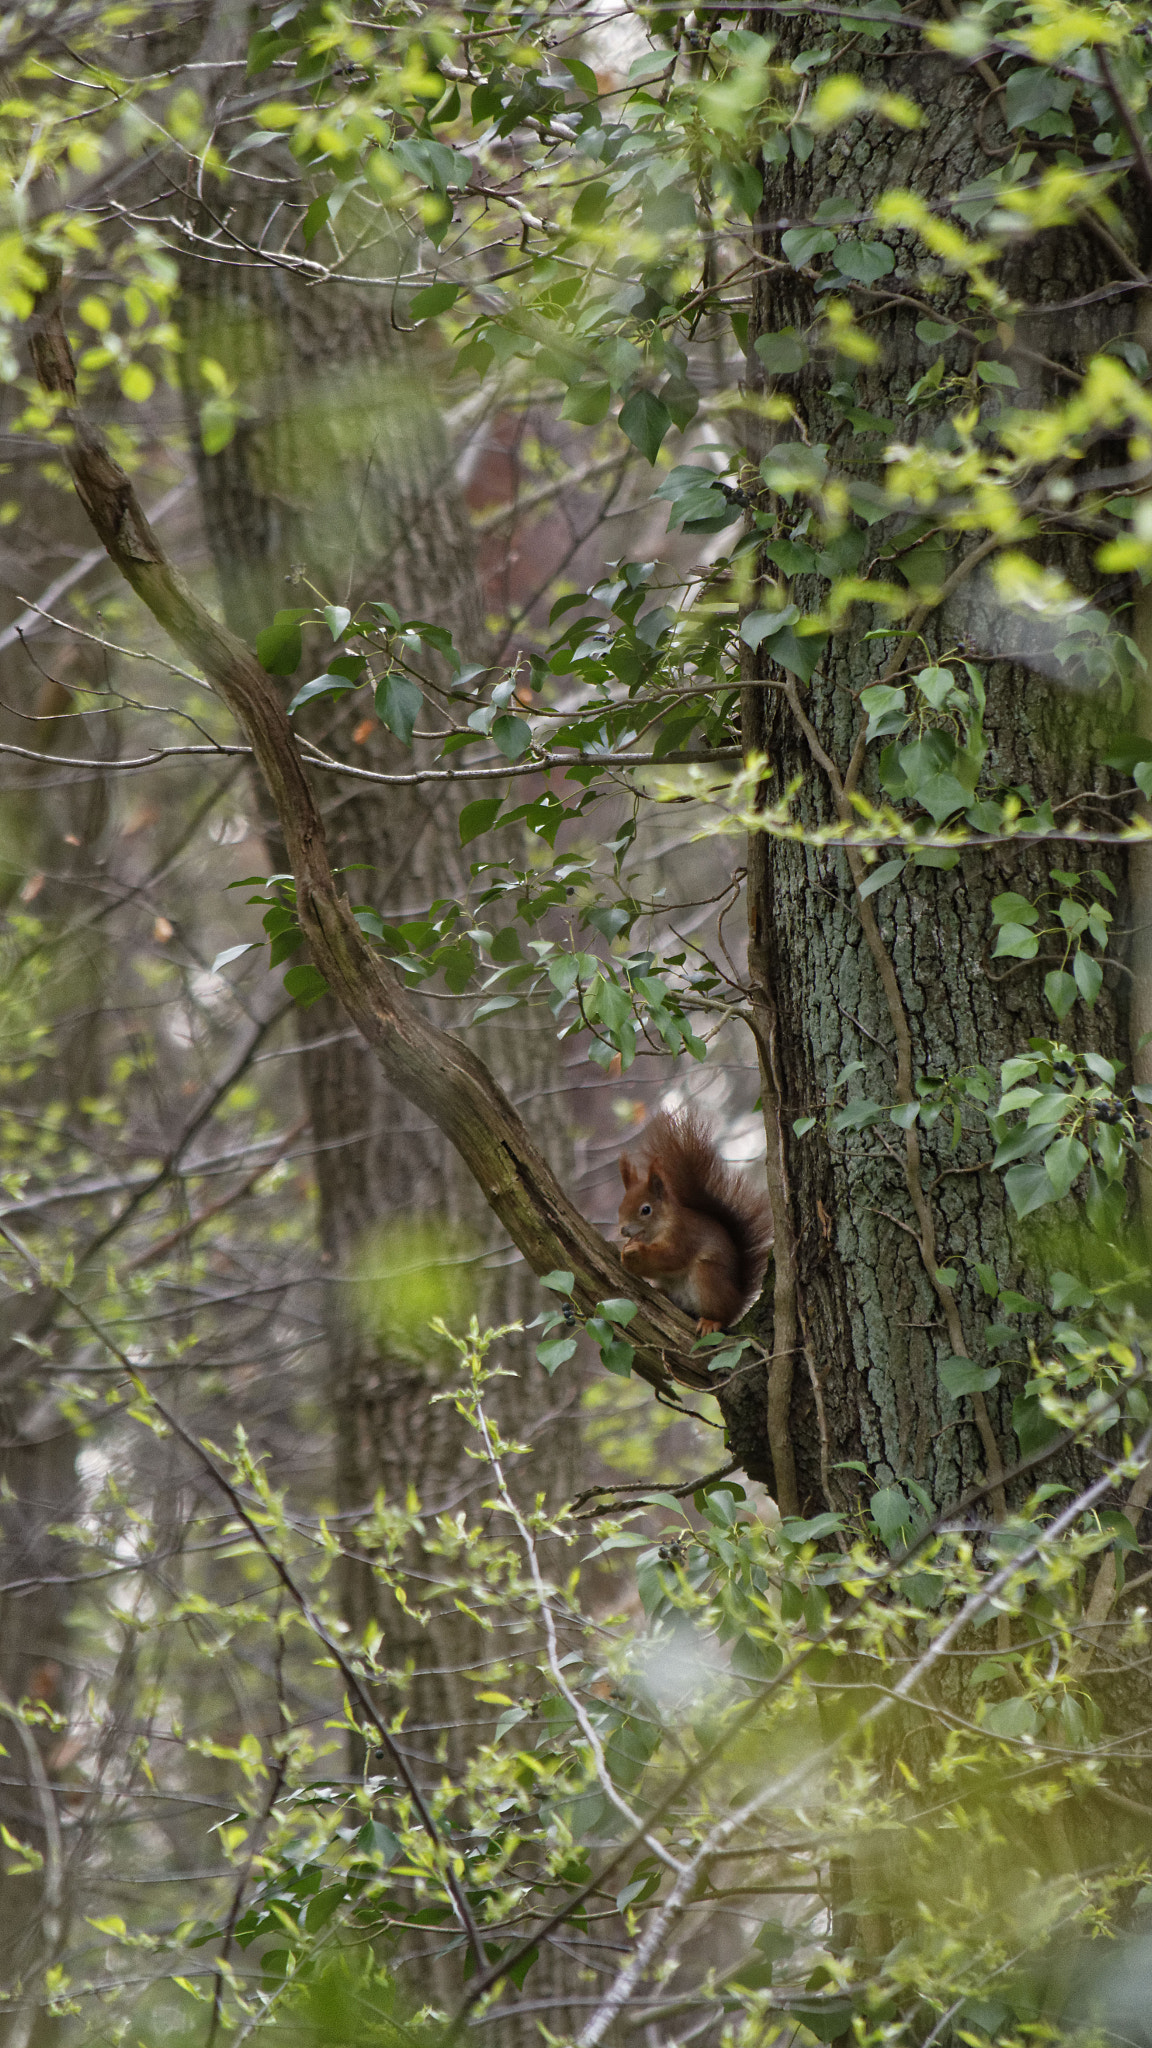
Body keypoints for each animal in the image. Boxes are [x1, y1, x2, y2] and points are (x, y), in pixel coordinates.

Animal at [617, 1109, 773, 1334]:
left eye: (646, 1210)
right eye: (620, 1207)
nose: (623, 1230)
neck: (658, 1229)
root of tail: (737, 1301)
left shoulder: (683, 1234)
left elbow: (673, 1256)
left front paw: (636, 1252)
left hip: (707, 1277)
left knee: (721, 1315)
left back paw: (711, 1322)